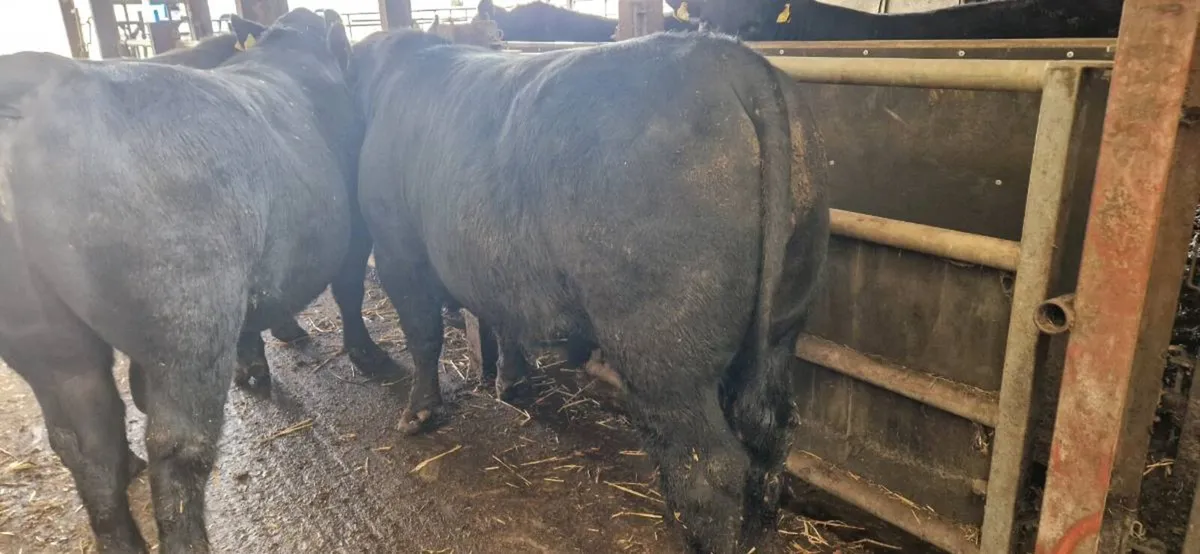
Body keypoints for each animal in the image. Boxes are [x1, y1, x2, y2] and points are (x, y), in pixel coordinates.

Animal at [0, 9, 385, 552]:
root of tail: (45, 79)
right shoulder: (353, 233)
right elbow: (350, 292)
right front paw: (366, 353)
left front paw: (255, 367)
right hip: (188, 323)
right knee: (178, 450)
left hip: (46, 339)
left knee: (87, 443)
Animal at [348, 29, 829, 553]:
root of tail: (731, 57)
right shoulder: (493, 267)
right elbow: (502, 316)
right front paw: (510, 382)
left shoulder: (395, 247)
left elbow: (422, 335)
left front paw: (417, 414)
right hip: (785, 320)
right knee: (772, 431)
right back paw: (761, 528)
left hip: (664, 351)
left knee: (710, 466)